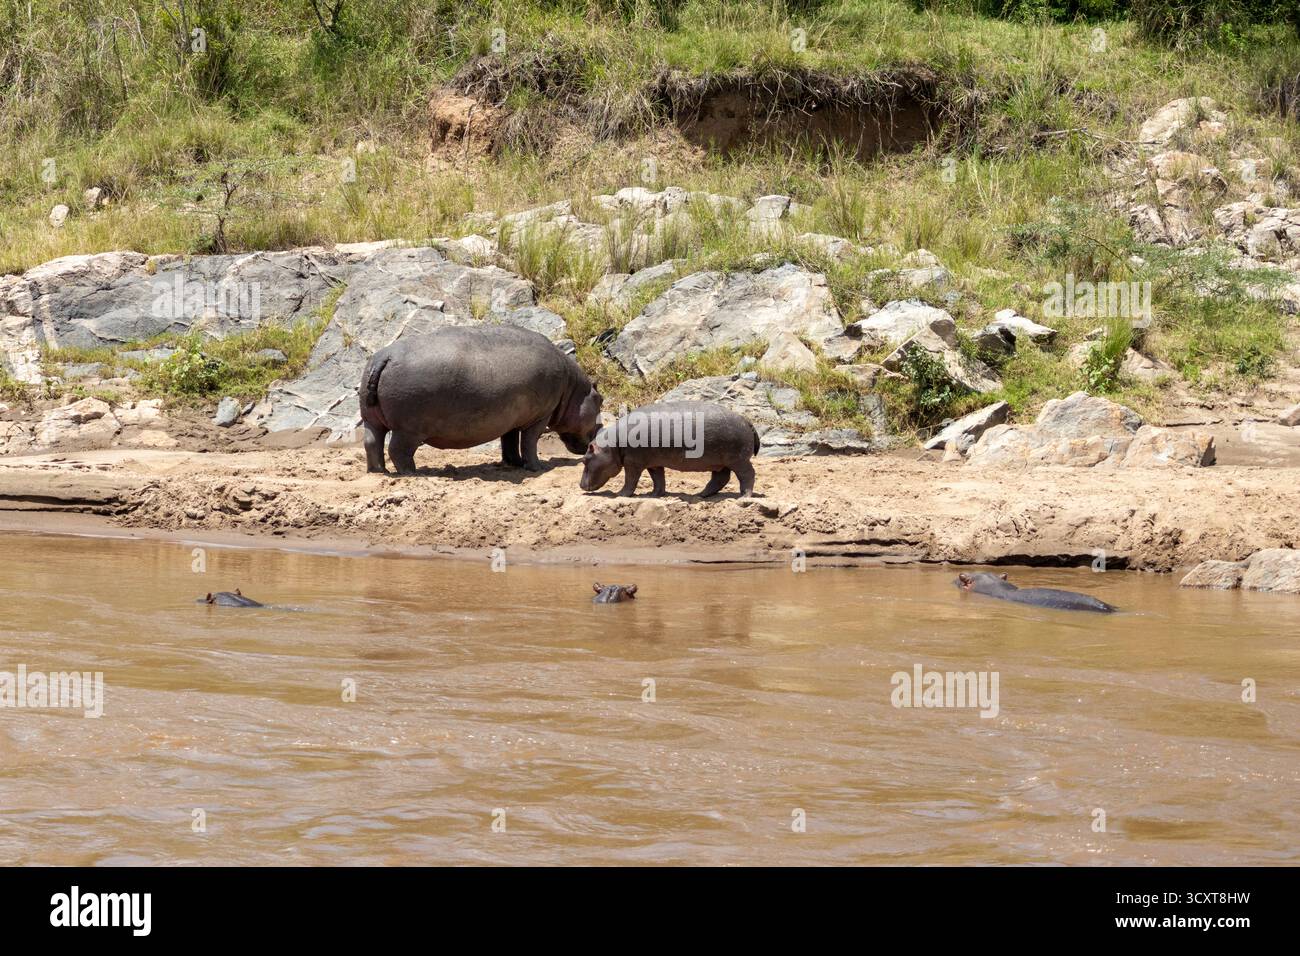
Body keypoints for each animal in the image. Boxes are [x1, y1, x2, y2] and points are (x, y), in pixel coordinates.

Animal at [359, 326, 603, 475]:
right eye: (600, 400)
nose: (601, 430)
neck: (573, 388)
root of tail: (385, 357)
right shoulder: (540, 417)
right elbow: (529, 442)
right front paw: (537, 468)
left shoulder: (511, 419)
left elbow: (510, 442)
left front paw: (513, 464)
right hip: (409, 429)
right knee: (397, 450)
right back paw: (413, 472)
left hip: (372, 420)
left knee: (372, 443)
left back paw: (378, 471)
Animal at [579, 401, 759, 498]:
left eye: (585, 460)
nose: (580, 485)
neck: (612, 445)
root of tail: (747, 420)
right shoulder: (653, 463)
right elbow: (658, 479)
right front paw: (654, 494)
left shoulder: (633, 463)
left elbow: (630, 479)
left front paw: (620, 495)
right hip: (720, 462)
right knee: (720, 478)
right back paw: (701, 495)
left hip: (738, 460)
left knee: (747, 474)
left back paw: (744, 497)